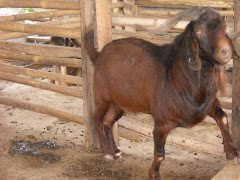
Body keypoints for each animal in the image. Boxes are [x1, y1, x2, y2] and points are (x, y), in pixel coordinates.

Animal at [85, 11, 239, 179]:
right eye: (199, 31)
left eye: (224, 27)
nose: (226, 51)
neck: (177, 77)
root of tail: (99, 54)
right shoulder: (160, 122)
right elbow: (159, 153)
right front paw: (154, 174)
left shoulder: (210, 104)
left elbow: (223, 117)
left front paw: (232, 153)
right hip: (102, 97)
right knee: (97, 118)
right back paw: (107, 152)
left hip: (119, 103)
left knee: (108, 121)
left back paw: (115, 152)